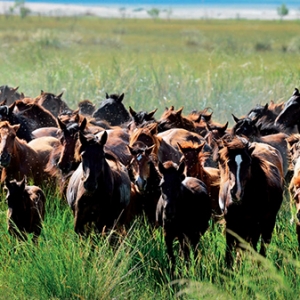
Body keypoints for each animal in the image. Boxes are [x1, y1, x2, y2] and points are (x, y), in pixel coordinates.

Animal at [218, 136, 284, 268]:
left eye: (248, 163)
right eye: (229, 163)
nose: (236, 192)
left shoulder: (255, 224)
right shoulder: (231, 223)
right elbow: (229, 250)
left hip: (267, 222)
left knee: (262, 246)